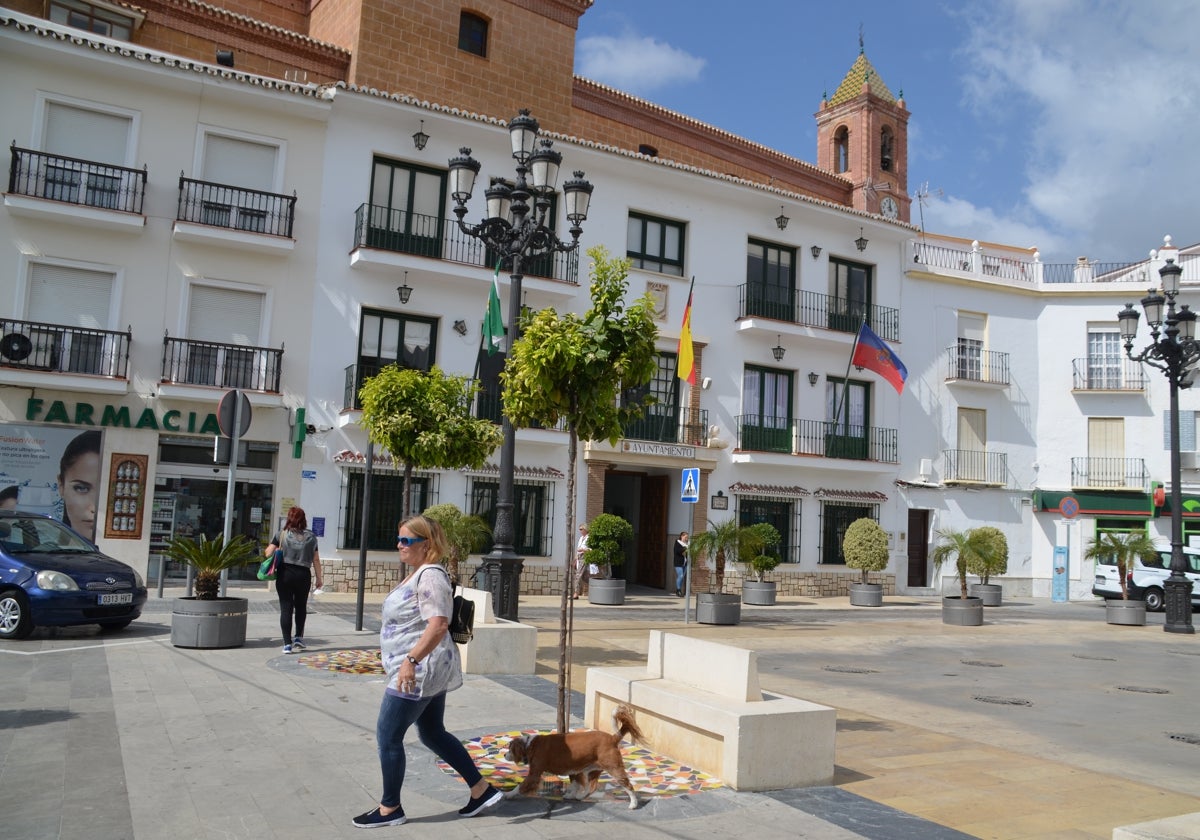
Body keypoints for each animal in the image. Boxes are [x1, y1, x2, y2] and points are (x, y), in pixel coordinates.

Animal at [501, 705, 643, 811]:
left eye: (510, 749)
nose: (503, 754)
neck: (530, 745)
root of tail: (613, 738)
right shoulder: (574, 769)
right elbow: (575, 784)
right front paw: (571, 795)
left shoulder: (534, 774)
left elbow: (520, 786)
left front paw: (508, 794)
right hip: (591, 769)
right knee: (592, 786)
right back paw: (580, 796)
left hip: (614, 768)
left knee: (628, 785)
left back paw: (633, 804)